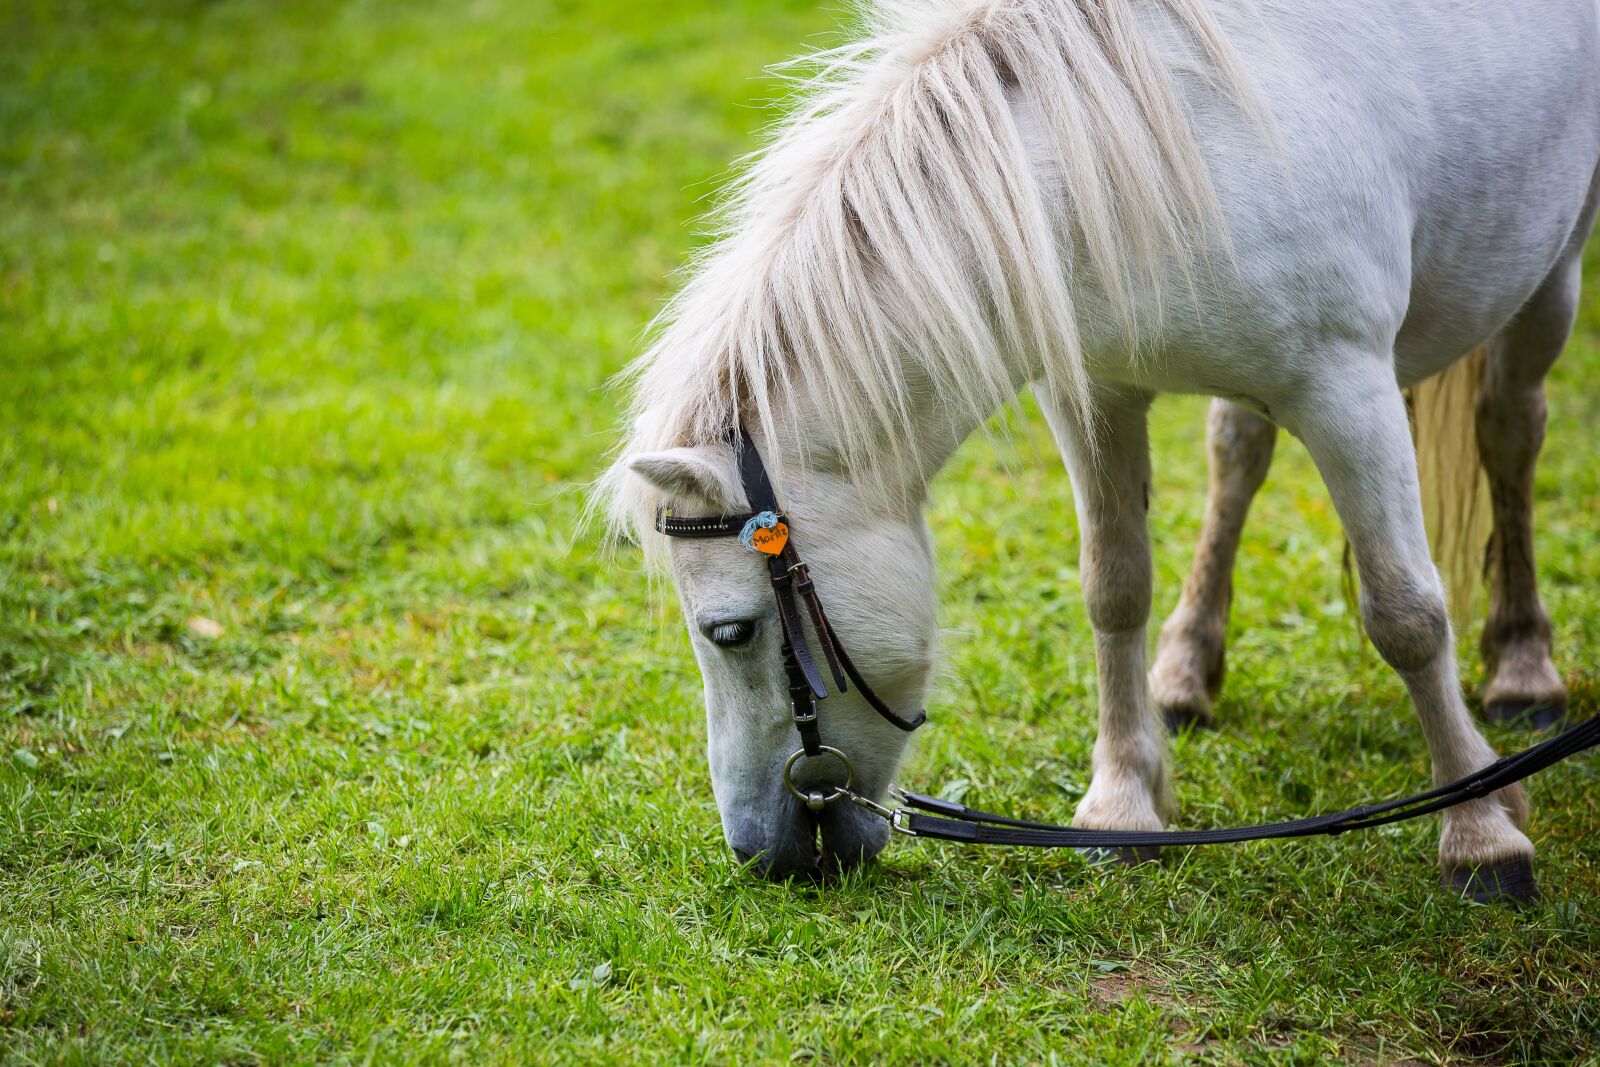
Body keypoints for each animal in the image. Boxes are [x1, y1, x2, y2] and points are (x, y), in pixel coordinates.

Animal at [600, 0, 1600, 901]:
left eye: (729, 631)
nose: (756, 851)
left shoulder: (1347, 389)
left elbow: (1406, 613)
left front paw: (1480, 830)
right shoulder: (1096, 395)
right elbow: (1114, 587)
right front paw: (1123, 806)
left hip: (1550, 271)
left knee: (1510, 431)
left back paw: (1523, 666)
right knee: (1239, 450)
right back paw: (1188, 668)